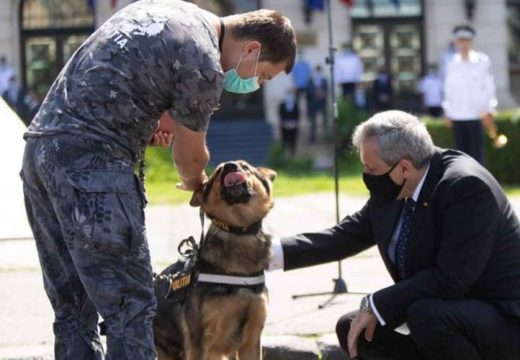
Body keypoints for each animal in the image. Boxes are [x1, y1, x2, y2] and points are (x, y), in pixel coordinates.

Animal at [152, 160, 276, 360]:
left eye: (245, 167)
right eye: (218, 172)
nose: (230, 166)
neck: (238, 231)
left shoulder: (251, 341)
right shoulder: (197, 342)